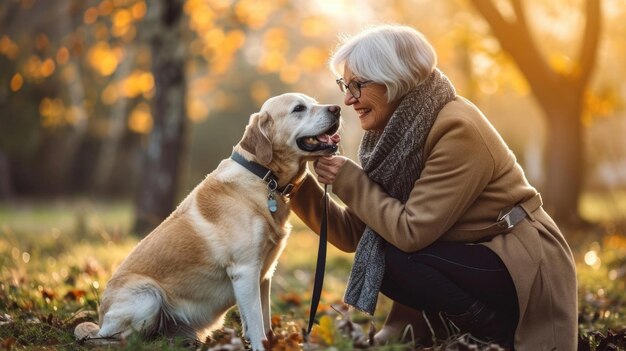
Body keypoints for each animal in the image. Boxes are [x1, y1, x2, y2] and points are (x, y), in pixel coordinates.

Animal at [76, 92, 344, 350]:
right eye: (298, 108)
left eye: (314, 102)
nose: (337, 108)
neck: (262, 177)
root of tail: (101, 318)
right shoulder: (246, 270)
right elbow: (257, 323)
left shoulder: (264, 274)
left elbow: (263, 322)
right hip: (148, 297)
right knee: (118, 339)